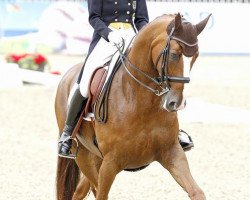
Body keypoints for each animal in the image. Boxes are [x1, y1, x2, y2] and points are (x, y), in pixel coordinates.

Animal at [55, 13, 211, 199]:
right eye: (174, 55)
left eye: (196, 55)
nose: (177, 103)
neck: (141, 102)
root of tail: (68, 75)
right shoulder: (110, 162)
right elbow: (101, 193)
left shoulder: (172, 152)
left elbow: (197, 192)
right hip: (83, 155)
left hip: (95, 157)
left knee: (80, 191)